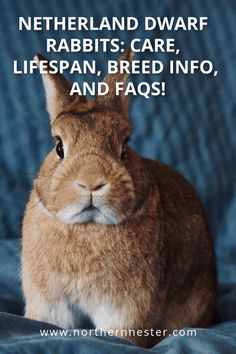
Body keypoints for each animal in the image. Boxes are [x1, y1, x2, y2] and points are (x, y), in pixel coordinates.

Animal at [21, 48, 217, 348]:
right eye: (58, 147)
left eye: (125, 146)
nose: (91, 181)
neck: (88, 226)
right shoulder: (50, 301)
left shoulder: (126, 309)